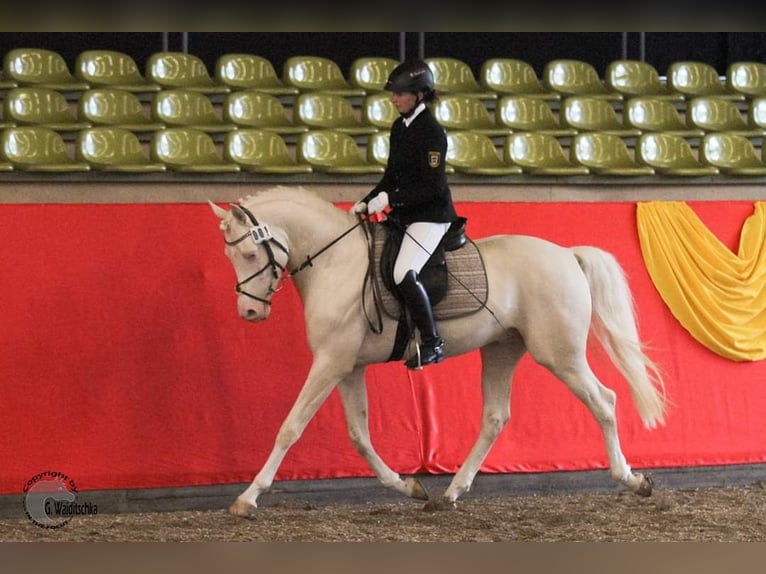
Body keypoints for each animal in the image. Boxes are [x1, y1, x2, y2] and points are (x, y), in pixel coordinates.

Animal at [208, 187, 664, 520]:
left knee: (604, 401)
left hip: (559, 354)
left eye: (250, 253)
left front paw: (248, 498)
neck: (335, 261)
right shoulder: (347, 366)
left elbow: (290, 427)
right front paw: (408, 485)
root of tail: (567, 254)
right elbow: (359, 435)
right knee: (495, 417)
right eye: (229, 255)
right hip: (502, 348)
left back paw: (633, 480)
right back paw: (450, 493)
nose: (250, 312)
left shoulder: (330, 363)